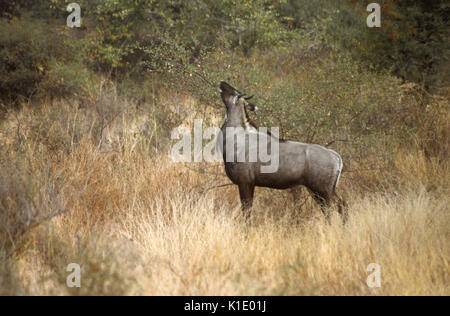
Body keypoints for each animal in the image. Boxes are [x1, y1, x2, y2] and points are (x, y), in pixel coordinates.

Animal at [218, 82, 348, 225]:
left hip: (322, 190)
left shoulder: (245, 182)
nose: (222, 83)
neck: (237, 136)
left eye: (234, 92)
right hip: (321, 190)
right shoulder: (249, 184)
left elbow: (246, 211)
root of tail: (335, 157)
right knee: (339, 206)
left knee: (334, 207)